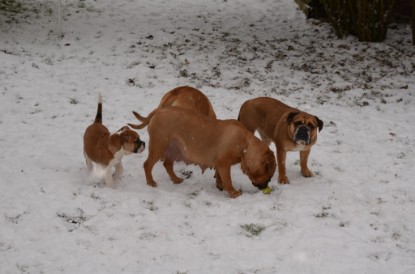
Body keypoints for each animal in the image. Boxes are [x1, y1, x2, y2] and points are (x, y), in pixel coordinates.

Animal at [128, 106, 274, 198]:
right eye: (269, 176)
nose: (266, 185)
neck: (245, 144)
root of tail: (159, 110)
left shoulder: (220, 164)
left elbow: (220, 176)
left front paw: (220, 185)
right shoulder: (223, 164)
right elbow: (228, 179)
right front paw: (233, 193)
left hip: (173, 149)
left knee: (167, 164)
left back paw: (176, 179)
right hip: (158, 146)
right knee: (147, 165)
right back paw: (151, 183)